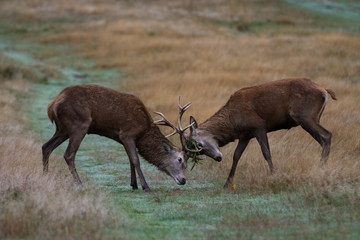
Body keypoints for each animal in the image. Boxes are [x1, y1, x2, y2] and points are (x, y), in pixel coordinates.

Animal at [42, 84, 191, 191]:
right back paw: (80, 184)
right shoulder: (127, 134)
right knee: (68, 155)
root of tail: (51, 106)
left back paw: (45, 176)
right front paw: (146, 186)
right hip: (78, 125)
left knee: (46, 147)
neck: (143, 132)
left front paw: (134, 184)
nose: (183, 180)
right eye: (180, 159)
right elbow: (136, 160)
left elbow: (130, 159)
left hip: (62, 129)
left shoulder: (124, 139)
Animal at [187, 79, 336, 188]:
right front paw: (227, 184)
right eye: (199, 151)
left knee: (326, 135)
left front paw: (274, 177)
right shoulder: (245, 135)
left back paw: (322, 170)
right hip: (313, 117)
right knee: (323, 138)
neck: (233, 122)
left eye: (199, 144)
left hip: (305, 116)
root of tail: (324, 90)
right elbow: (236, 156)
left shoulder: (259, 126)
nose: (218, 158)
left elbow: (266, 153)